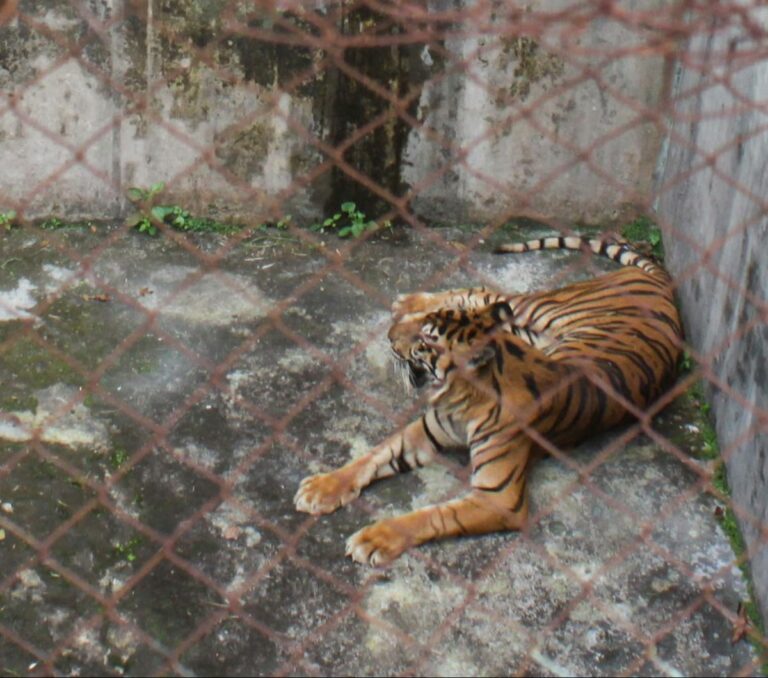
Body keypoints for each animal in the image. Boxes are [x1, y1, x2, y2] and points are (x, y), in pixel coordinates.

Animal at [294, 236, 684, 564]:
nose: (390, 336)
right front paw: (322, 488)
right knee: (487, 293)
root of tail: (663, 283)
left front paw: (374, 538)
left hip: (540, 313)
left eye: (426, 341)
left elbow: (433, 516)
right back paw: (409, 302)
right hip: (528, 316)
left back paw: (406, 303)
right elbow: (373, 455)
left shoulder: (498, 498)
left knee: (492, 294)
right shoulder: (427, 430)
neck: (461, 396)